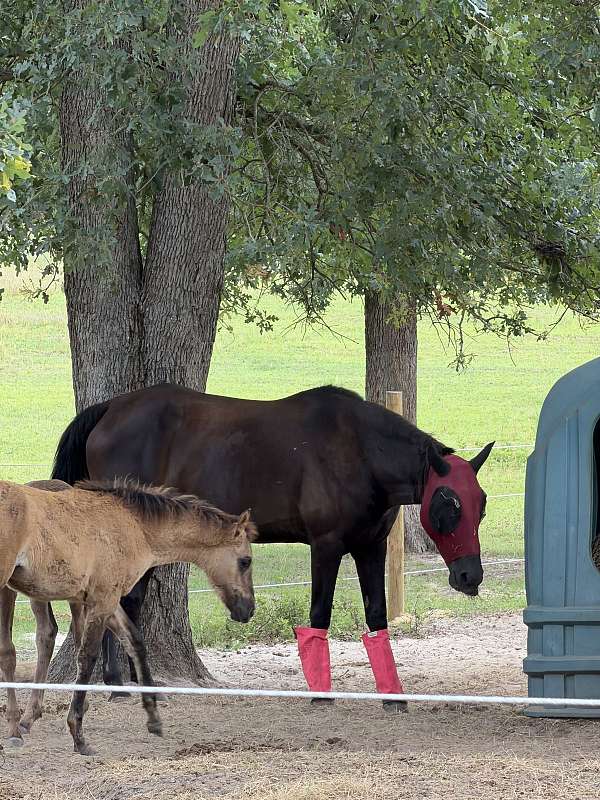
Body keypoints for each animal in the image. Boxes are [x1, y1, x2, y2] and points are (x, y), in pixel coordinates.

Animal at [0, 478, 256, 754]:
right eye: (245, 561)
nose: (248, 610)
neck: (133, 525)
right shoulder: (103, 601)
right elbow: (88, 657)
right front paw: (78, 735)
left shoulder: (109, 602)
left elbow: (135, 642)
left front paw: (154, 719)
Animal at [52, 383, 494, 710]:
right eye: (447, 505)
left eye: (482, 503)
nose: (469, 575)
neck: (359, 450)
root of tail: (111, 409)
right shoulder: (326, 547)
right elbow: (319, 614)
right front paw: (321, 696)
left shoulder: (371, 549)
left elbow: (377, 616)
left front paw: (393, 697)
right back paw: (119, 684)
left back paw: (127, 684)